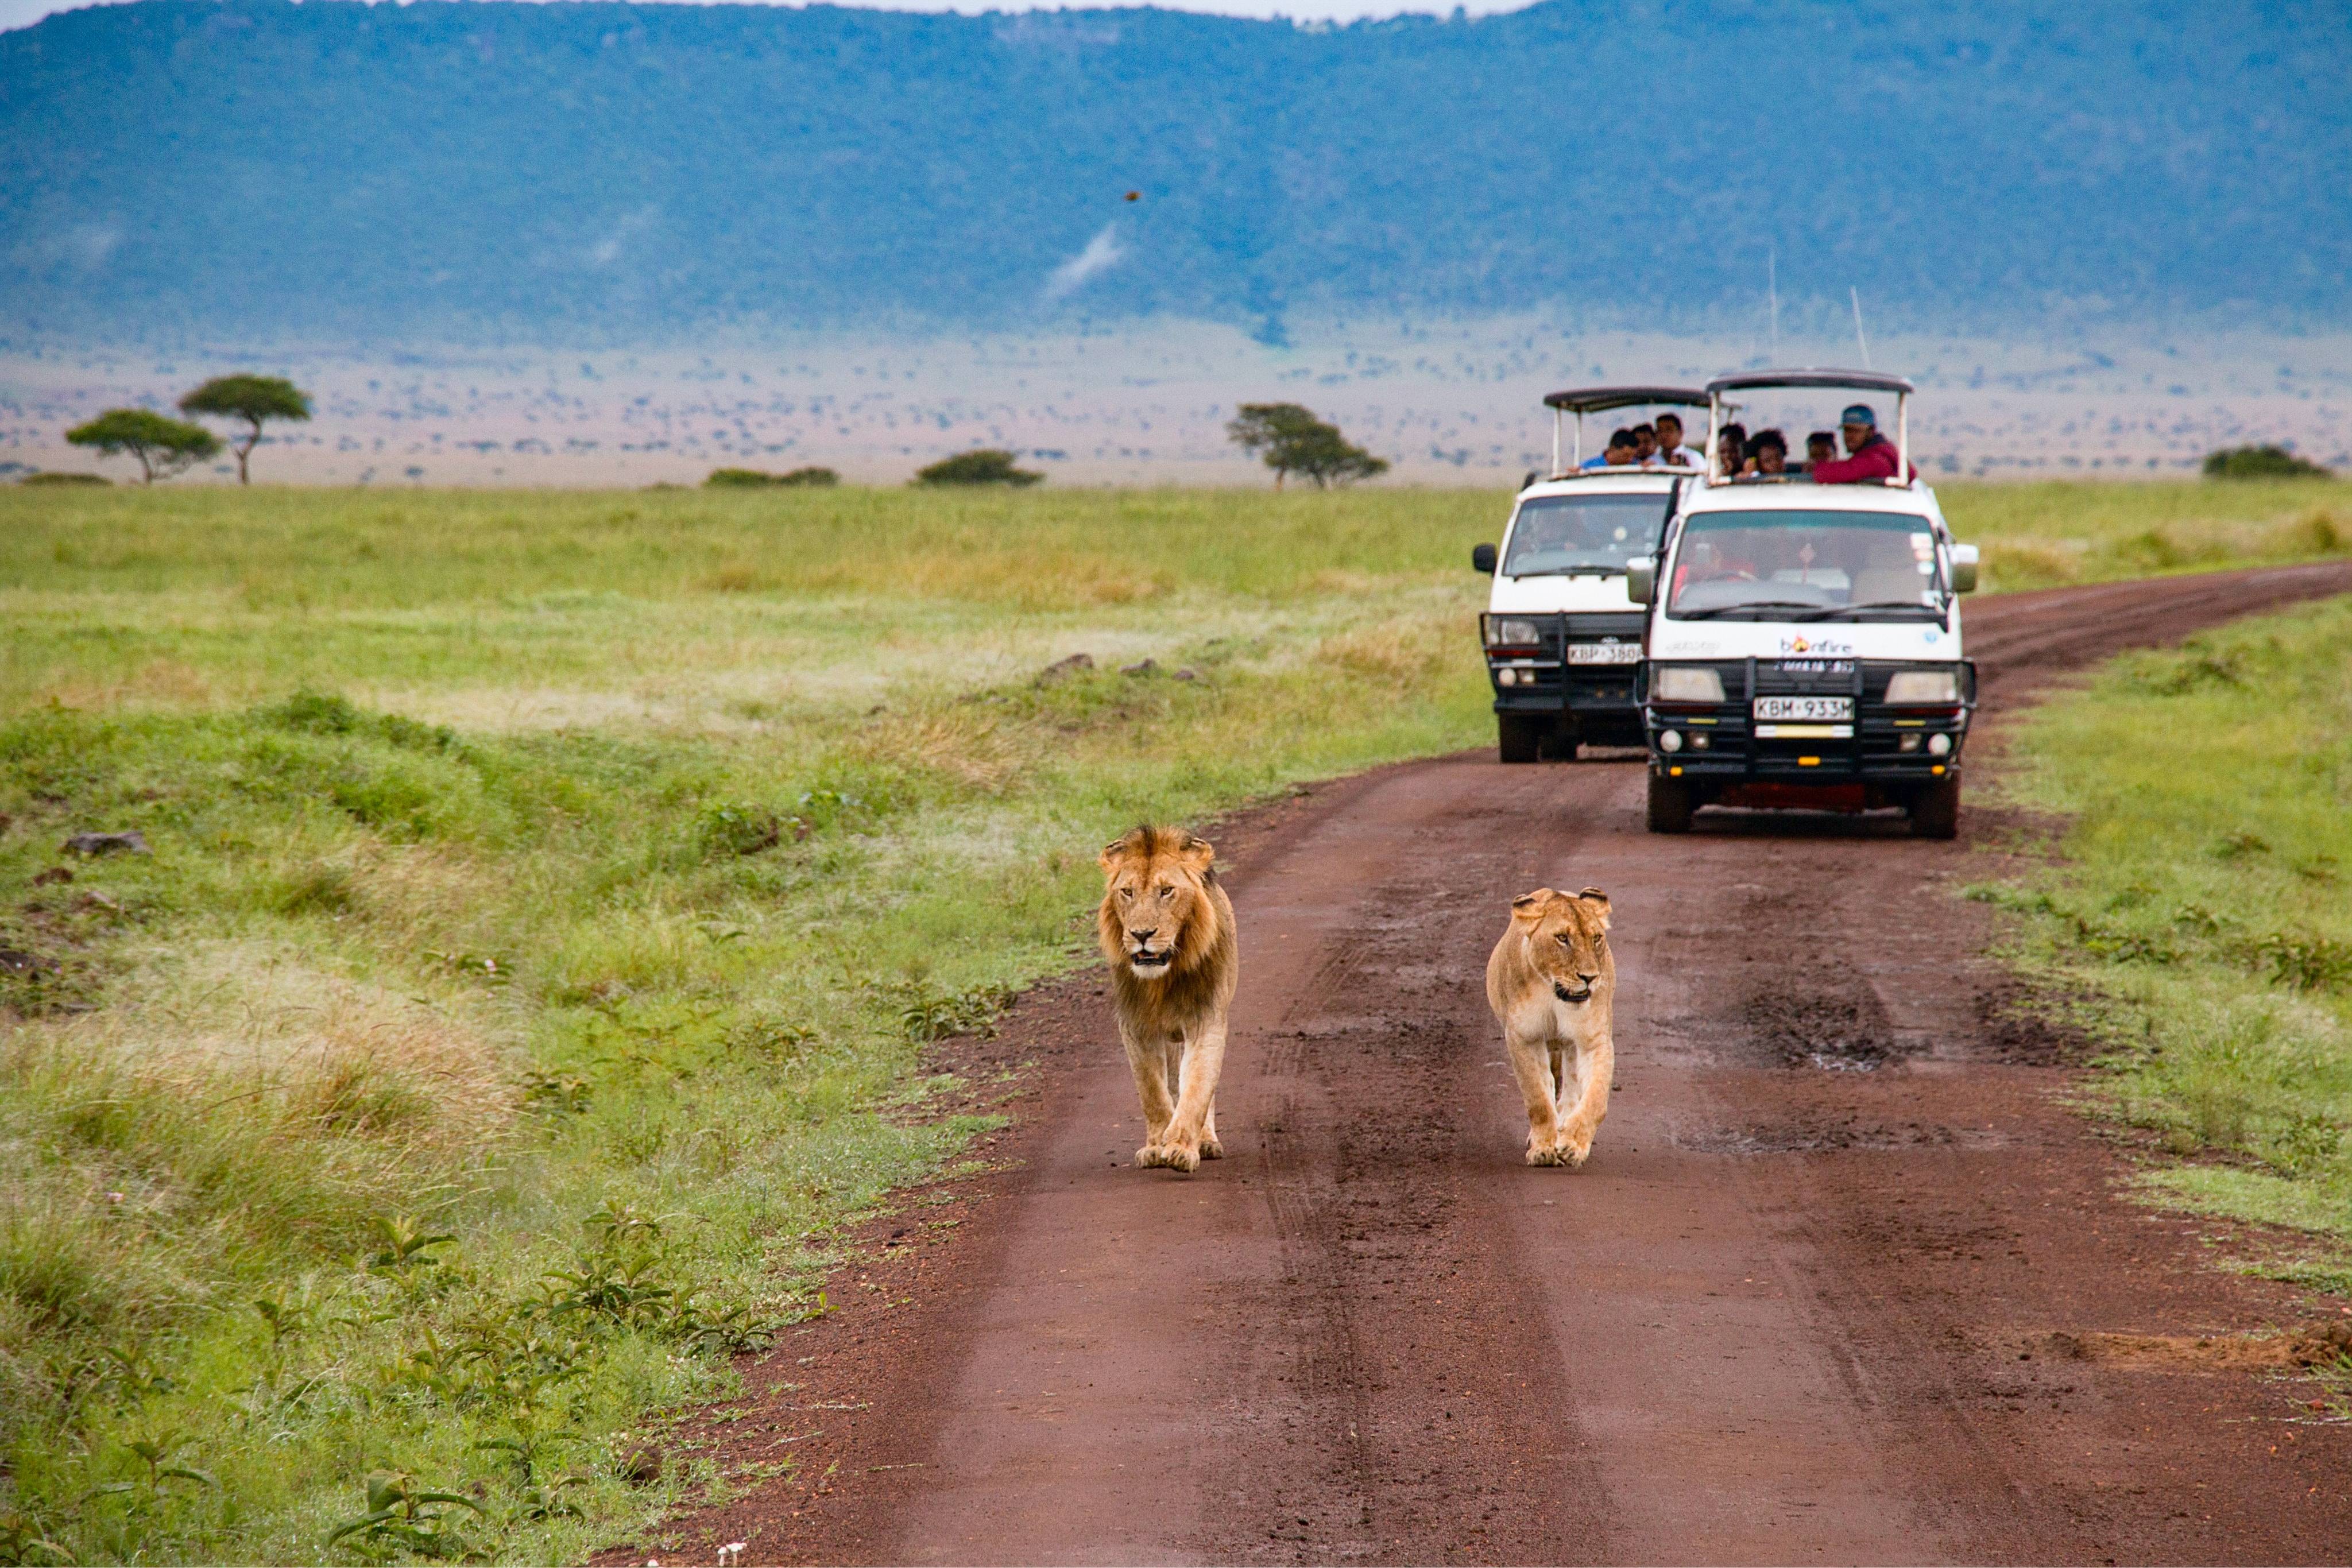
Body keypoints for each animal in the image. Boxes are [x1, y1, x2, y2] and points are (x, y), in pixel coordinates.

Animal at [1100, 827, 1241, 1171]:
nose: (1141, 935)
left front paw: (1180, 1149)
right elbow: (1152, 1092)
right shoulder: (1136, 1027)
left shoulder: (1207, 1022)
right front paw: (1156, 1148)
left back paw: (1207, 1141)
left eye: (1167, 891)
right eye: (1127, 892)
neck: (1162, 981)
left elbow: (1197, 1088)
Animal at [1486, 884, 1618, 1166]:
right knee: (1550, 1083)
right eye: (1562, 938)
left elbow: (1596, 1100)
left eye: (1596, 938)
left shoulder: (1594, 1039)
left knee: (1571, 1086)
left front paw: (1573, 1145)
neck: (1554, 994)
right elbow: (1538, 1098)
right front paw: (1543, 1150)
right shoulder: (1523, 1037)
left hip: (1570, 1045)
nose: (1590, 977)